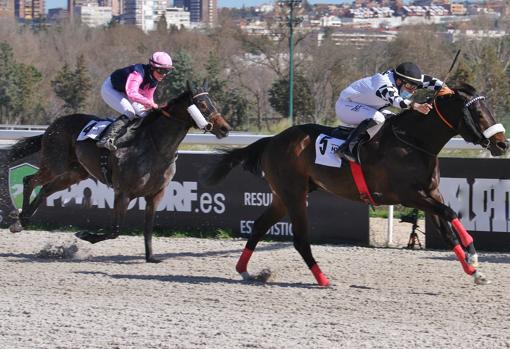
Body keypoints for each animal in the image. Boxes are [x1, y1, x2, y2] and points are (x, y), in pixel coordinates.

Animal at [7, 81, 231, 260]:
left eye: (213, 102)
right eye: (202, 105)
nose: (225, 128)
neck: (156, 148)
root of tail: (53, 125)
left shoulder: (156, 194)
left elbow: (148, 227)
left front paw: (151, 257)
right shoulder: (123, 192)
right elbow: (115, 230)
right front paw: (84, 235)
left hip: (74, 173)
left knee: (45, 189)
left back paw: (24, 219)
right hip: (55, 164)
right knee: (30, 181)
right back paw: (17, 221)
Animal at [203, 84, 506, 286]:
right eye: (478, 113)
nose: (502, 143)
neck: (413, 142)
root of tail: (272, 140)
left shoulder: (431, 193)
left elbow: (447, 228)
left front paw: (475, 270)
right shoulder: (409, 195)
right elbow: (451, 213)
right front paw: (473, 253)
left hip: (284, 196)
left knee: (258, 226)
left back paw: (245, 270)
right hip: (294, 195)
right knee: (300, 239)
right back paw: (322, 279)